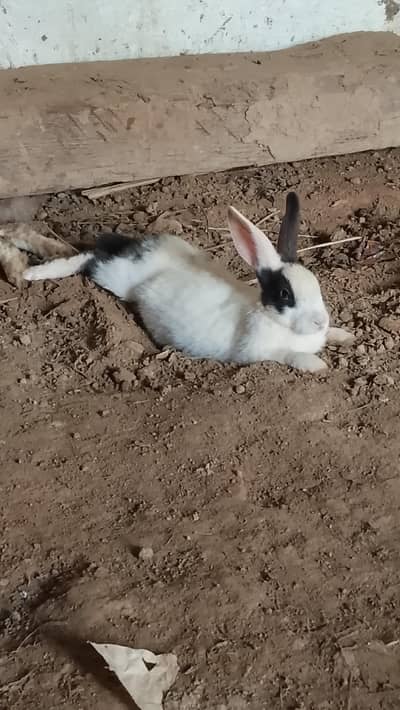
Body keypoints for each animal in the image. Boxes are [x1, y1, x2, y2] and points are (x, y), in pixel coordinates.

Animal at [23, 192, 354, 372]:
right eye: (286, 294)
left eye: (317, 286)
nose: (320, 322)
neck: (268, 317)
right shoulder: (256, 353)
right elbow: (285, 355)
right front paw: (316, 365)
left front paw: (344, 335)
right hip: (114, 276)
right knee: (90, 257)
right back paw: (35, 273)